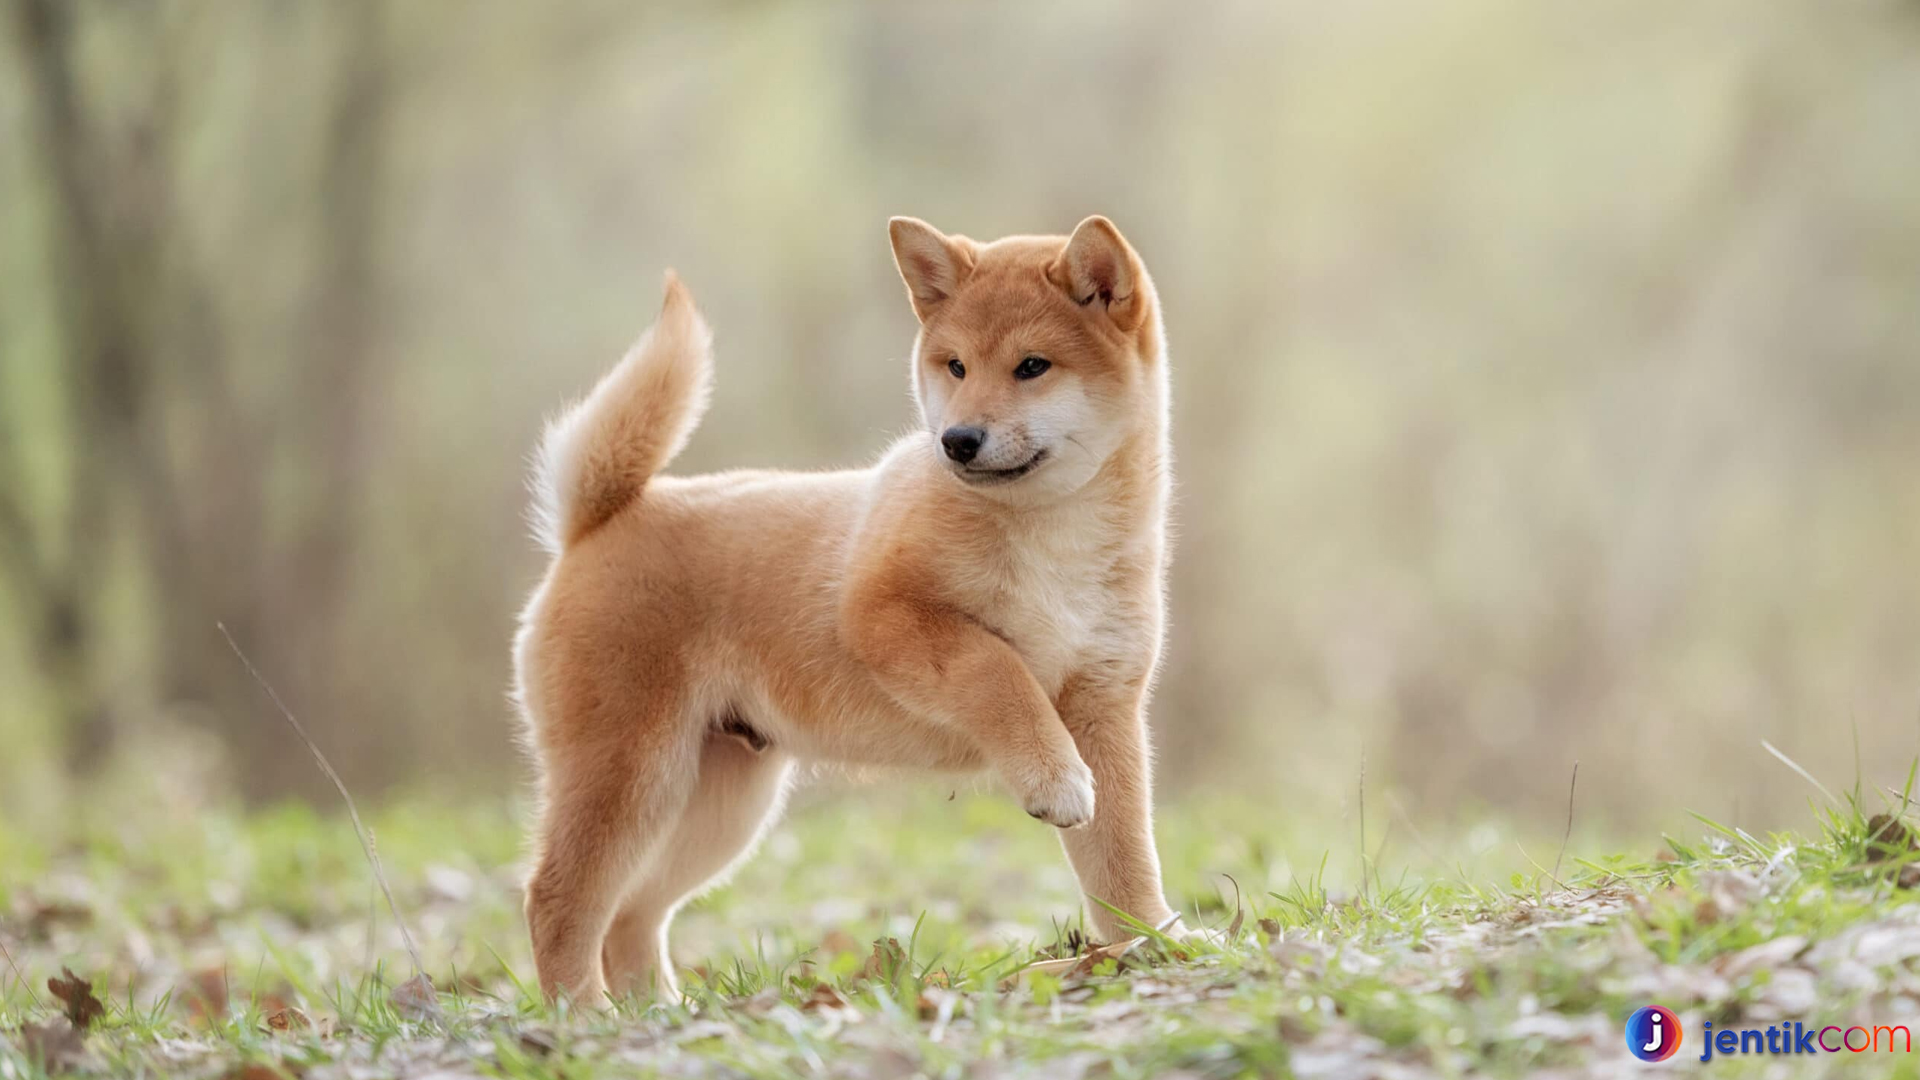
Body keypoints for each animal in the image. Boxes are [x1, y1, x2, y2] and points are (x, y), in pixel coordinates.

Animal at [526, 214, 1175, 999]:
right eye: (955, 367)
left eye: (1032, 366)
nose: (957, 440)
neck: (1052, 533)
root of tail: (595, 522)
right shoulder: (883, 613)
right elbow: (997, 669)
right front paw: (1054, 777)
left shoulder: (1106, 705)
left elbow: (1123, 861)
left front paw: (1155, 942)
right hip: (628, 774)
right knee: (558, 900)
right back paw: (581, 1014)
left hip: (716, 804)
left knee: (631, 915)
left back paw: (655, 1012)